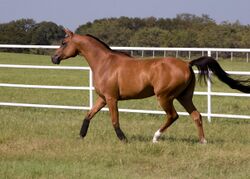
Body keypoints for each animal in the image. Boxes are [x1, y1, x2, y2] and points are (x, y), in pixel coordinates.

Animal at [51, 29, 250, 144]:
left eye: (64, 43)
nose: (54, 58)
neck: (104, 63)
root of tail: (187, 63)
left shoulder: (111, 98)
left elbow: (115, 120)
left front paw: (124, 139)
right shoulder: (102, 98)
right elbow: (89, 114)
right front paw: (80, 137)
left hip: (164, 97)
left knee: (173, 116)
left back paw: (155, 138)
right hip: (184, 97)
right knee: (196, 115)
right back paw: (203, 141)